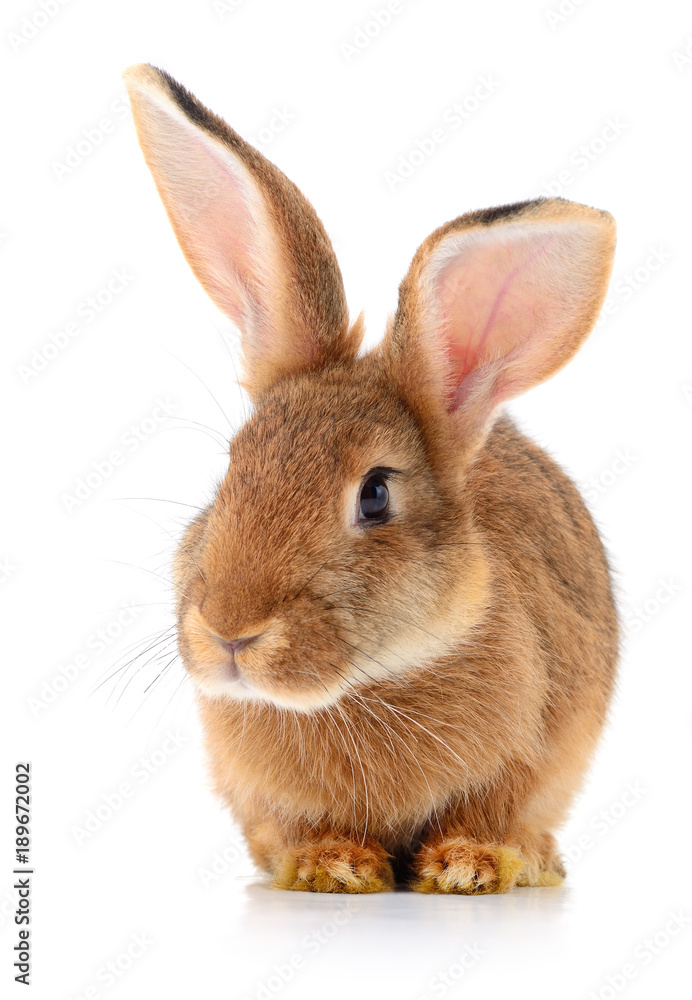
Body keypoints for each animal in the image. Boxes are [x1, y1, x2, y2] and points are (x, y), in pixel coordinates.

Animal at [123, 63, 619, 894]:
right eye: (233, 467)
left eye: (376, 494)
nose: (230, 630)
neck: (370, 685)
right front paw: (332, 865)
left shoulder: (535, 755)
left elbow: (494, 813)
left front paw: (469, 866)